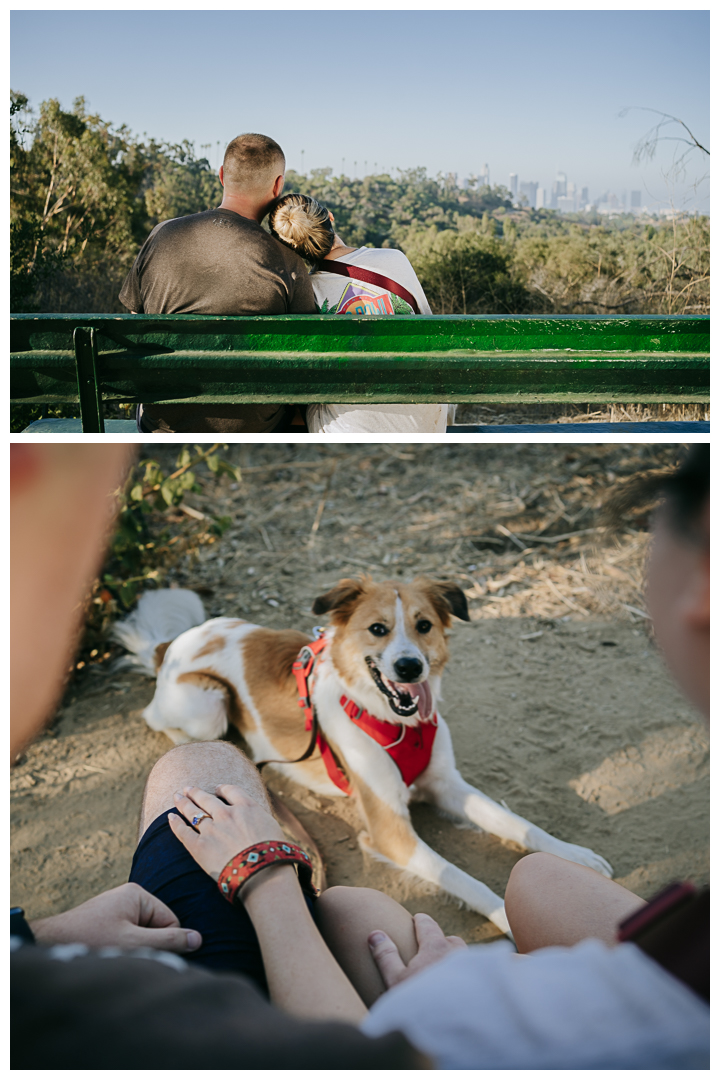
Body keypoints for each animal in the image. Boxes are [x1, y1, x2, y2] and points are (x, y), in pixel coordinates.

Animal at [115, 578, 613, 933]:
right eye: (378, 629)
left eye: (424, 625)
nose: (409, 667)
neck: (396, 724)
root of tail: (171, 645)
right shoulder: (390, 831)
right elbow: (463, 878)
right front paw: (510, 917)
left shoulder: (447, 784)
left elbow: (517, 824)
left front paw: (574, 855)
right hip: (208, 706)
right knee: (154, 718)